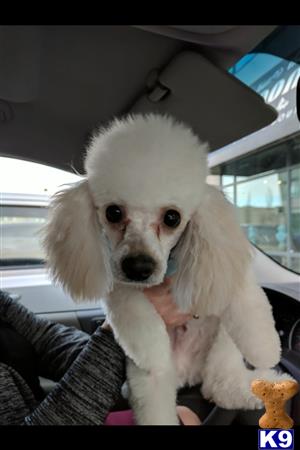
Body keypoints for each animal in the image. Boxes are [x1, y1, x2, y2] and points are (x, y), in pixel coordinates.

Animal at [43, 114, 290, 424]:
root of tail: (189, 373)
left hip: (221, 343)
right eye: (113, 212)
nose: (139, 267)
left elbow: (246, 299)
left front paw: (266, 348)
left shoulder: (221, 262)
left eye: (172, 217)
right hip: (150, 384)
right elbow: (129, 305)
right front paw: (151, 347)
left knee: (220, 384)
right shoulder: (120, 282)